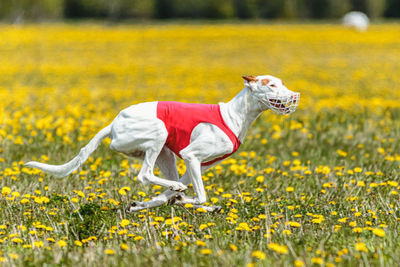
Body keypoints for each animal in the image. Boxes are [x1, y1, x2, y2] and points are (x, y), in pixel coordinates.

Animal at [25, 75, 298, 214]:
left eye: (282, 82)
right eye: (272, 85)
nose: (294, 95)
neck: (233, 116)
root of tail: (113, 124)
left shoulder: (197, 165)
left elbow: (174, 195)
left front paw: (149, 204)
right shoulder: (191, 155)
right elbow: (199, 196)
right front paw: (183, 199)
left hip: (165, 153)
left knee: (166, 180)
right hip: (159, 133)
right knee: (145, 175)